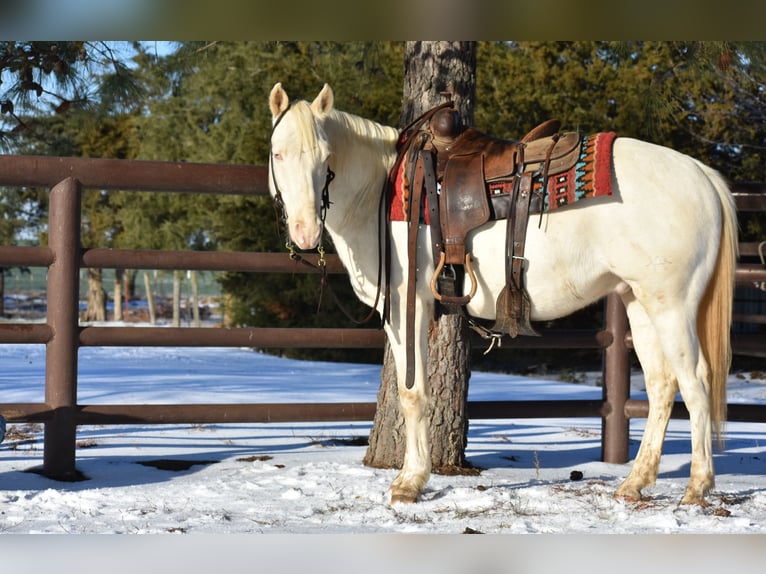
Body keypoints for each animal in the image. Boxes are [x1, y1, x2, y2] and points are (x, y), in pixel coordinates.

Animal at [267, 82, 738, 506]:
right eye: (277, 154)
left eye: (325, 157)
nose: (306, 232)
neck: (382, 190)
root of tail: (702, 176)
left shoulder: (407, 306)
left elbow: (412, 394)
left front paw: (409, 482)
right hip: (639, 301)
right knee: (661, 384)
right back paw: (634, 482)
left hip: (672, 304)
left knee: (696, 381)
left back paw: (697, 487)